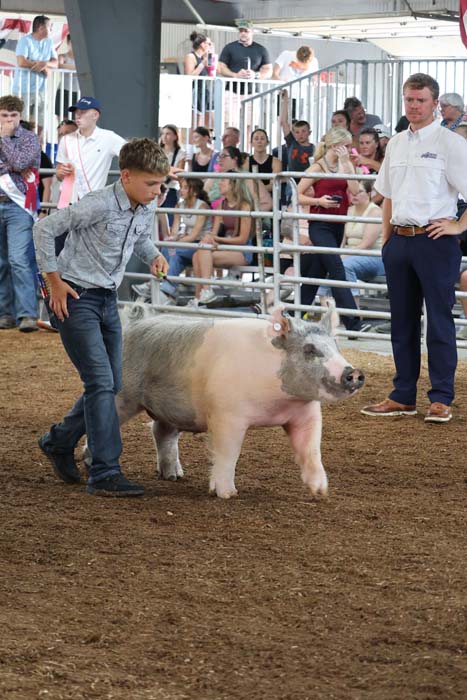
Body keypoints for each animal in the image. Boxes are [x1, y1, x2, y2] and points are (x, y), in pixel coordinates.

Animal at [117, 302, 364, 499]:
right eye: (309, 349)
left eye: (336, 345)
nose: (353, 372)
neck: (277, 405)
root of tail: (133, 324)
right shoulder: (226, 416)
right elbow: (228, 453)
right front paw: (227, 494)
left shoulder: (307, 414)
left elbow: (311, 450)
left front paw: (320, 492)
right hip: (123, 395)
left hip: (171, 408)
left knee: (161, 432)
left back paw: (174, 476)